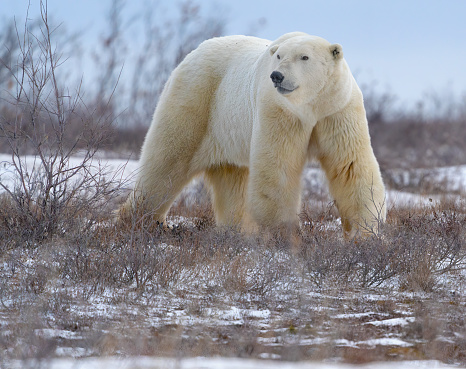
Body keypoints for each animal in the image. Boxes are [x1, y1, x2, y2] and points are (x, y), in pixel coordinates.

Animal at [121, 32, 386, 239]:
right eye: (279, 56)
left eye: (304, 57)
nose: (277, 75)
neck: (309, 107)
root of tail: (191, 54)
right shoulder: (278, 110)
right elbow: (278, 167)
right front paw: (286, 233)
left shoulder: (337, 110)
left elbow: (350, 166)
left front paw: (366, 233)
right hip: (196, 100)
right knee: (166, 162)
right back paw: (141, 222)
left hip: (228, 130)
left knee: (232, 180)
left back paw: (236, 231)